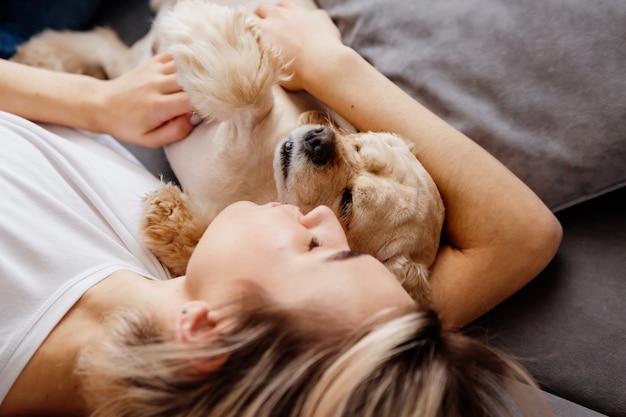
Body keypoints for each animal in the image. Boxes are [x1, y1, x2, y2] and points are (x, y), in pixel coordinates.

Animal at [13, 0, 444, 306]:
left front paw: (169, 216)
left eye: (348, 202)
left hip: (129, 68)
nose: (319, 139)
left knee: (105, 49)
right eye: (355, 143)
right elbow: (248, 88)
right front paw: (207, 25)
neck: (264, 183)